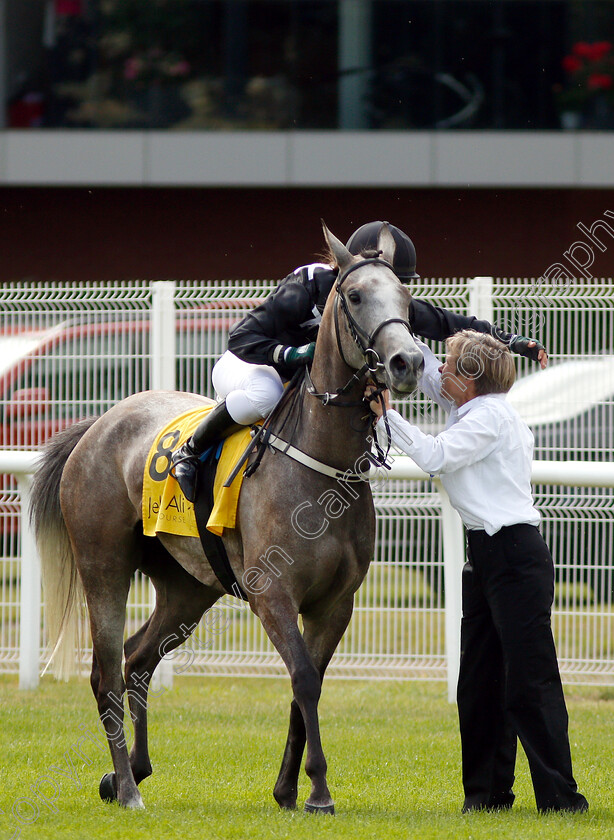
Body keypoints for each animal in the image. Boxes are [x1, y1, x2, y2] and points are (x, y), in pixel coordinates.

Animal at [31, 223, 426, 812]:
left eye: (407, 299)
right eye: (356, 296)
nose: (408, 363)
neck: (321, 464)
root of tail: (96, 425)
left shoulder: (336, 603)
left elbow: (306, 683)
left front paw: (288, 788)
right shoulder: (273, 591)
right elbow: (304, 678)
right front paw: (317, 790)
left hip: (189, 586)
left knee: (137, 658)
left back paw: (132, 772)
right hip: (104, 565)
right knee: (105, 673)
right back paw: (128, 788)